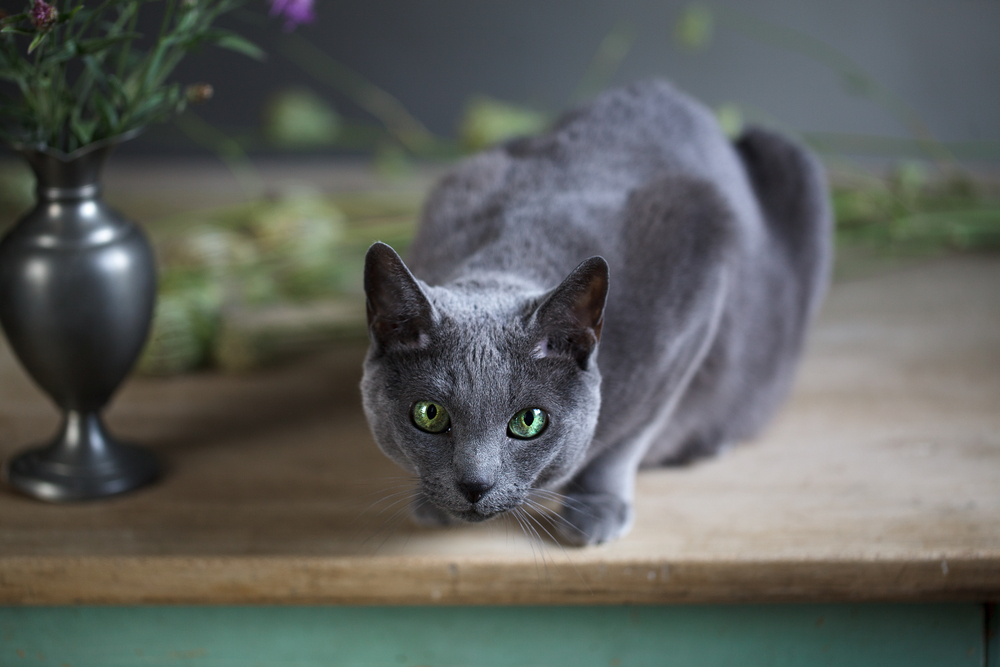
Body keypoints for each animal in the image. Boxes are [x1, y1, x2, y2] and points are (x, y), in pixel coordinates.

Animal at [358, 79, 828, 548]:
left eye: (529, 421)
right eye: (429, 414)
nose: (475, 485)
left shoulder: (698, 266)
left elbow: (630, 435)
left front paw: (594, 509)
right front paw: (431, 503)